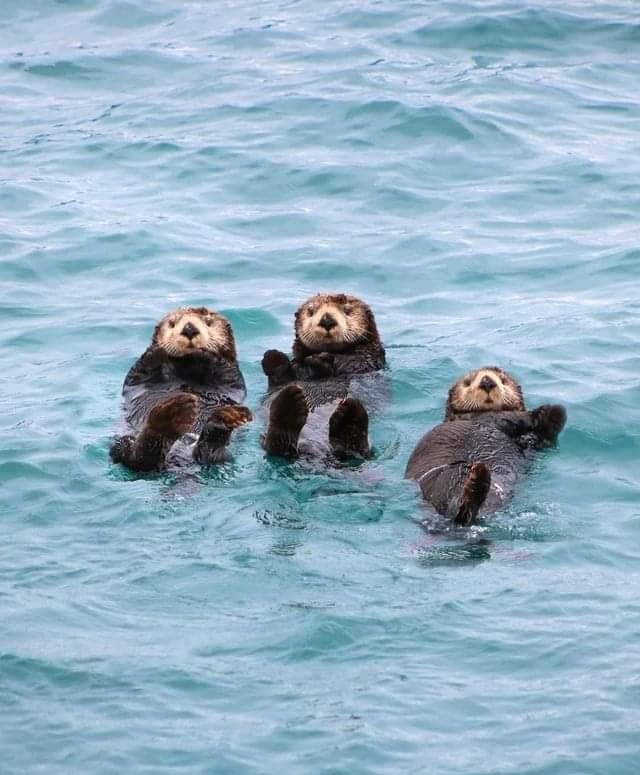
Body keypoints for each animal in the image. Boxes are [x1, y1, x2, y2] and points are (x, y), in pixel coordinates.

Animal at [109, 306, 251, 470]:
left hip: (224, 456)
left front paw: (206, 351)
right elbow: (142, 368)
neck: (188, 368)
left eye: (208, 322)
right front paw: (158, 349)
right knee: (137, 458)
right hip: (122, 442)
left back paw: (222, 420)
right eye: (172, 323)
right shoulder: (138, 375)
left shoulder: (232, 375)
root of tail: (180, 458)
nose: (189, 329)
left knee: (209, 454)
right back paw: (173, 416)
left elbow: (224, 367)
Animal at [260, 292, 384, 460]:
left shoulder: (365, 361)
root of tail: (315, 451)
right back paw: (289, 405)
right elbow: (282, 376)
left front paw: (320, 360)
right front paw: (273, 358)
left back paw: (349, 417)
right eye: (311, 311)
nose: (327, 319)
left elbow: (349, 362)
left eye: (347, 310)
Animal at [404, 366, 564, 524]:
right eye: (468, 382)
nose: (487, 382)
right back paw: (477, 481)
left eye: (503, 380)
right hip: (443, 481)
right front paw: (545, 412)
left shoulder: (533, 444)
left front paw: (552, 414)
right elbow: (510, 417)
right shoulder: (489, 417)